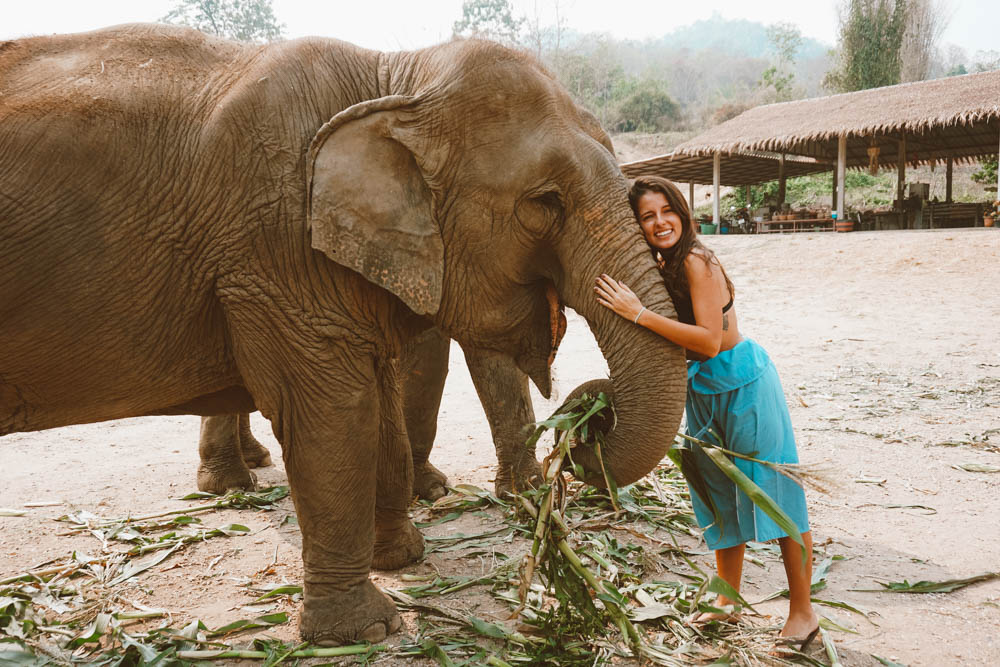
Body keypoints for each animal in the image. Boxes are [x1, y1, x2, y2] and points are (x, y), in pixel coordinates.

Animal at [0, 26, 688, 648]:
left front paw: (405, 556)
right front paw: (366, 629)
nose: (585, 424)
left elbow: (379, 403)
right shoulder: (276, 254)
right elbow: (337, 411)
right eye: (545, 202)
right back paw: (232, 489)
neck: (390, 78)